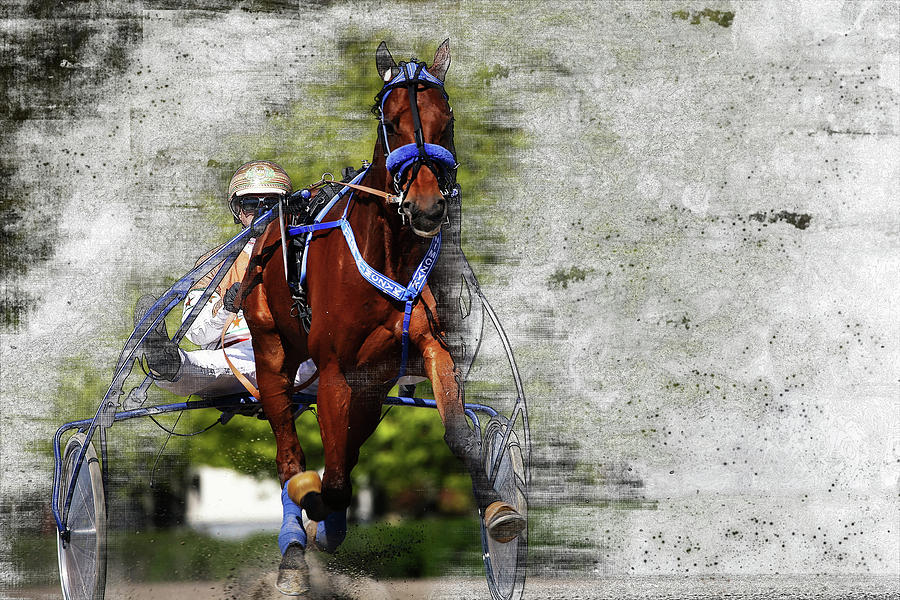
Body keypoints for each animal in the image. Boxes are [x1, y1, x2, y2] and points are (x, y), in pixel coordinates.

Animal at [239, 39, 524, 592]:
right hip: (271, 350)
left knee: (346, 449)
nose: (428, 206)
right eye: (392, 120)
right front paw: (316, 503)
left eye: (446, 119)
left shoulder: (428, 348)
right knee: (290, 452)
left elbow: (458, 434)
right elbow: (331, 477)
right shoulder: (333, 370)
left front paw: (497, 508)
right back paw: (297, 538)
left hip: (371, 387)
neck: (390, 253)